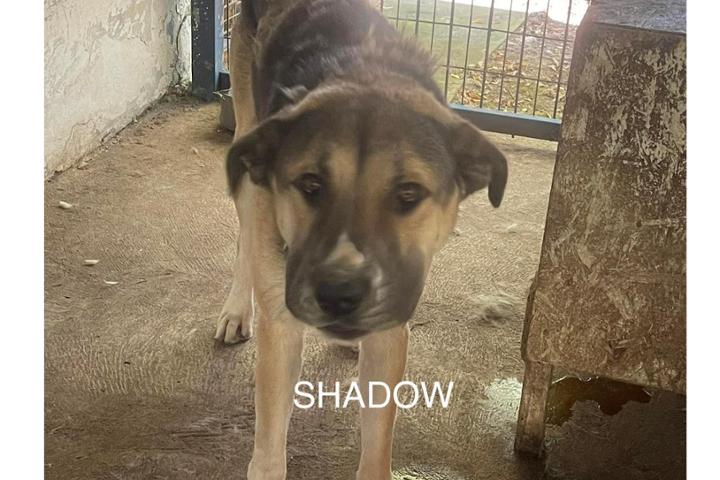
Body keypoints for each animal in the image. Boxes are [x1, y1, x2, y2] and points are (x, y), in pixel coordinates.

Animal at [214, 1, 508, 478]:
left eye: (408, 194)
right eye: (311, 185)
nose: (340, 293)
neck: (361, 69)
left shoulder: (391, 334)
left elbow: (377, 444)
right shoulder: (281, 326)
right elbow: (270, 449)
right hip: (245, 153)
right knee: (246, 235)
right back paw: (239, 309)